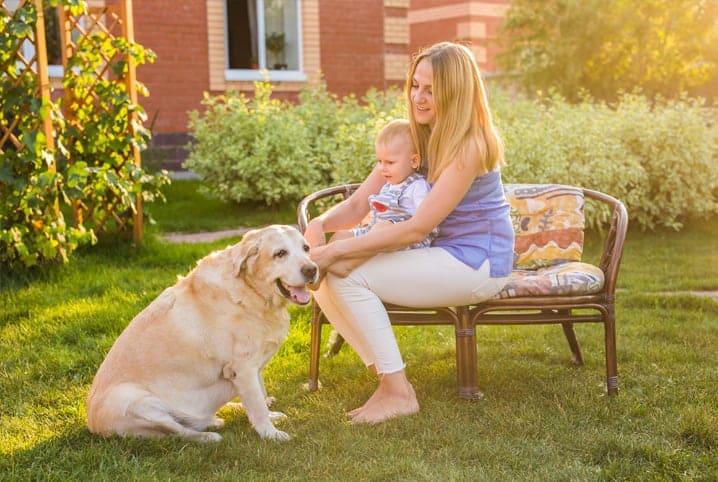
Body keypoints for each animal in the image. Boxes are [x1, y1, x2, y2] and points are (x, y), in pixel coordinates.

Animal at [86, 224, 318, 442]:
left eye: (306, 248)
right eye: (280, 253)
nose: (312, 269)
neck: (251, 293)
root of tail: (92, 426)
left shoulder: (254, 367)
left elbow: (260, 395)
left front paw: (270, 416)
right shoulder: (243, 369)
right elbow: (257, 406)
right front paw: (271, 434)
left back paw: (217, 418)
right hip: (136, 401)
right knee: (178, 432)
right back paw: (209, 436)